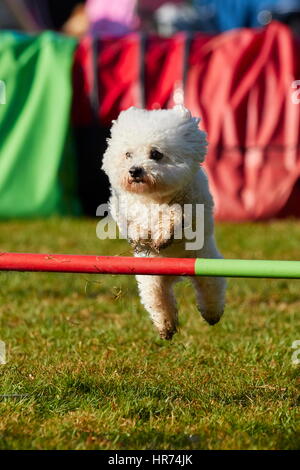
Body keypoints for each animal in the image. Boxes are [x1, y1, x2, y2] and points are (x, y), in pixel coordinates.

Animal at [102, 105, 226, 340]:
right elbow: (137, 221)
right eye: (128, 154)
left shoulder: (193, 211)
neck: (155, 196)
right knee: (158, 300)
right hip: (151, 279)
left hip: (205, 264)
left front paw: (163, 232)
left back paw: (212, 314)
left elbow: (176, 214)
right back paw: (165, 326)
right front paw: (143, 235)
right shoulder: (128, 207)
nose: (134, 170)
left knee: (211, 289)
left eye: (156, 154)